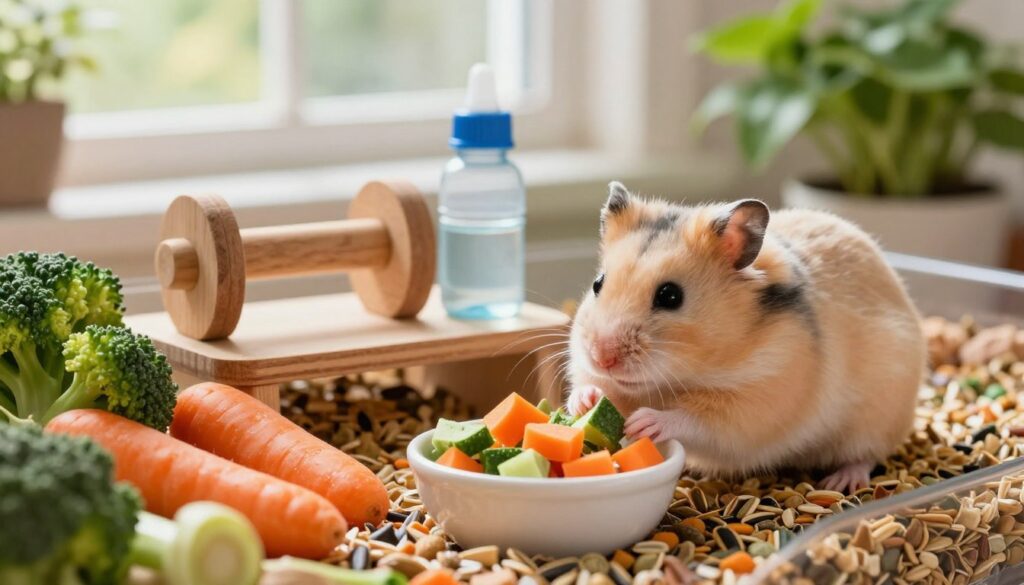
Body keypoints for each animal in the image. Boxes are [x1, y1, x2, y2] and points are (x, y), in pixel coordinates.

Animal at [566, 182, 925, 492]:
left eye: (670, 296)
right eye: (598, 283)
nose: (602, 357)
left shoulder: (759, 399)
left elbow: (696, 419)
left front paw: (645, 422)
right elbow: (594, 387)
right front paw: (585, 401)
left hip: (876, 419)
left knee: (866, 456)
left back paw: (840, 482)